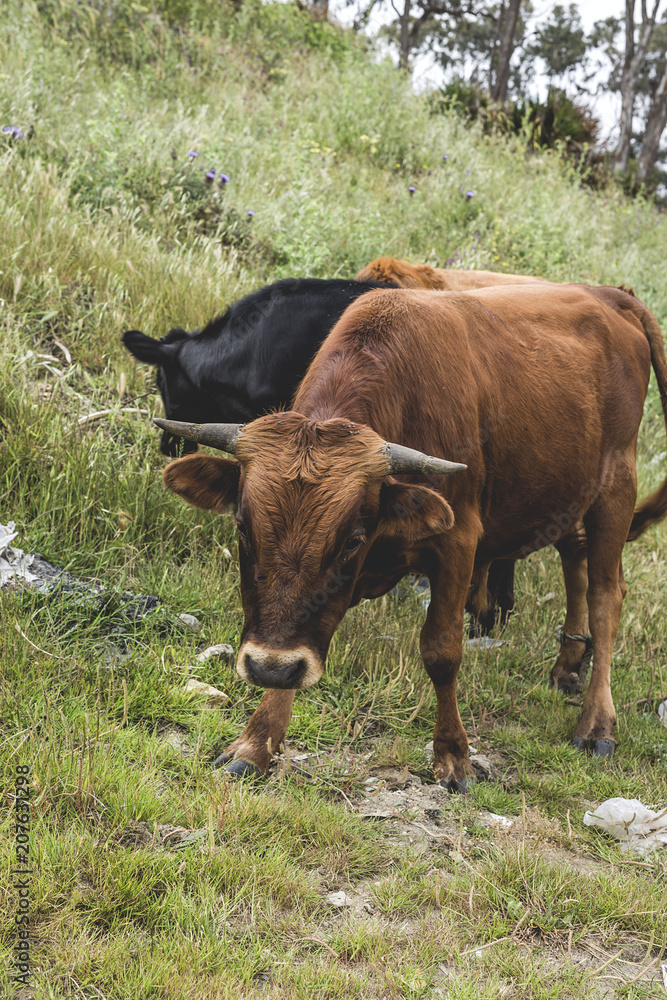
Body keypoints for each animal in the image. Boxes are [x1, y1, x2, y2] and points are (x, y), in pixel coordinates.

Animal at [155, 283, 667, 791]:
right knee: (575, 564)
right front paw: (256, 743)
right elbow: (303, 639)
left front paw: (454, 757)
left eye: (352, 540)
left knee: (605, 596)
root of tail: (608, 294)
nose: (268, 664)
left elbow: (441, 651)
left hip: (616, 487)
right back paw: (566, 667)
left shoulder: (458, 541)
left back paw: (596, 723)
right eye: (243, 526)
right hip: (569, 492)